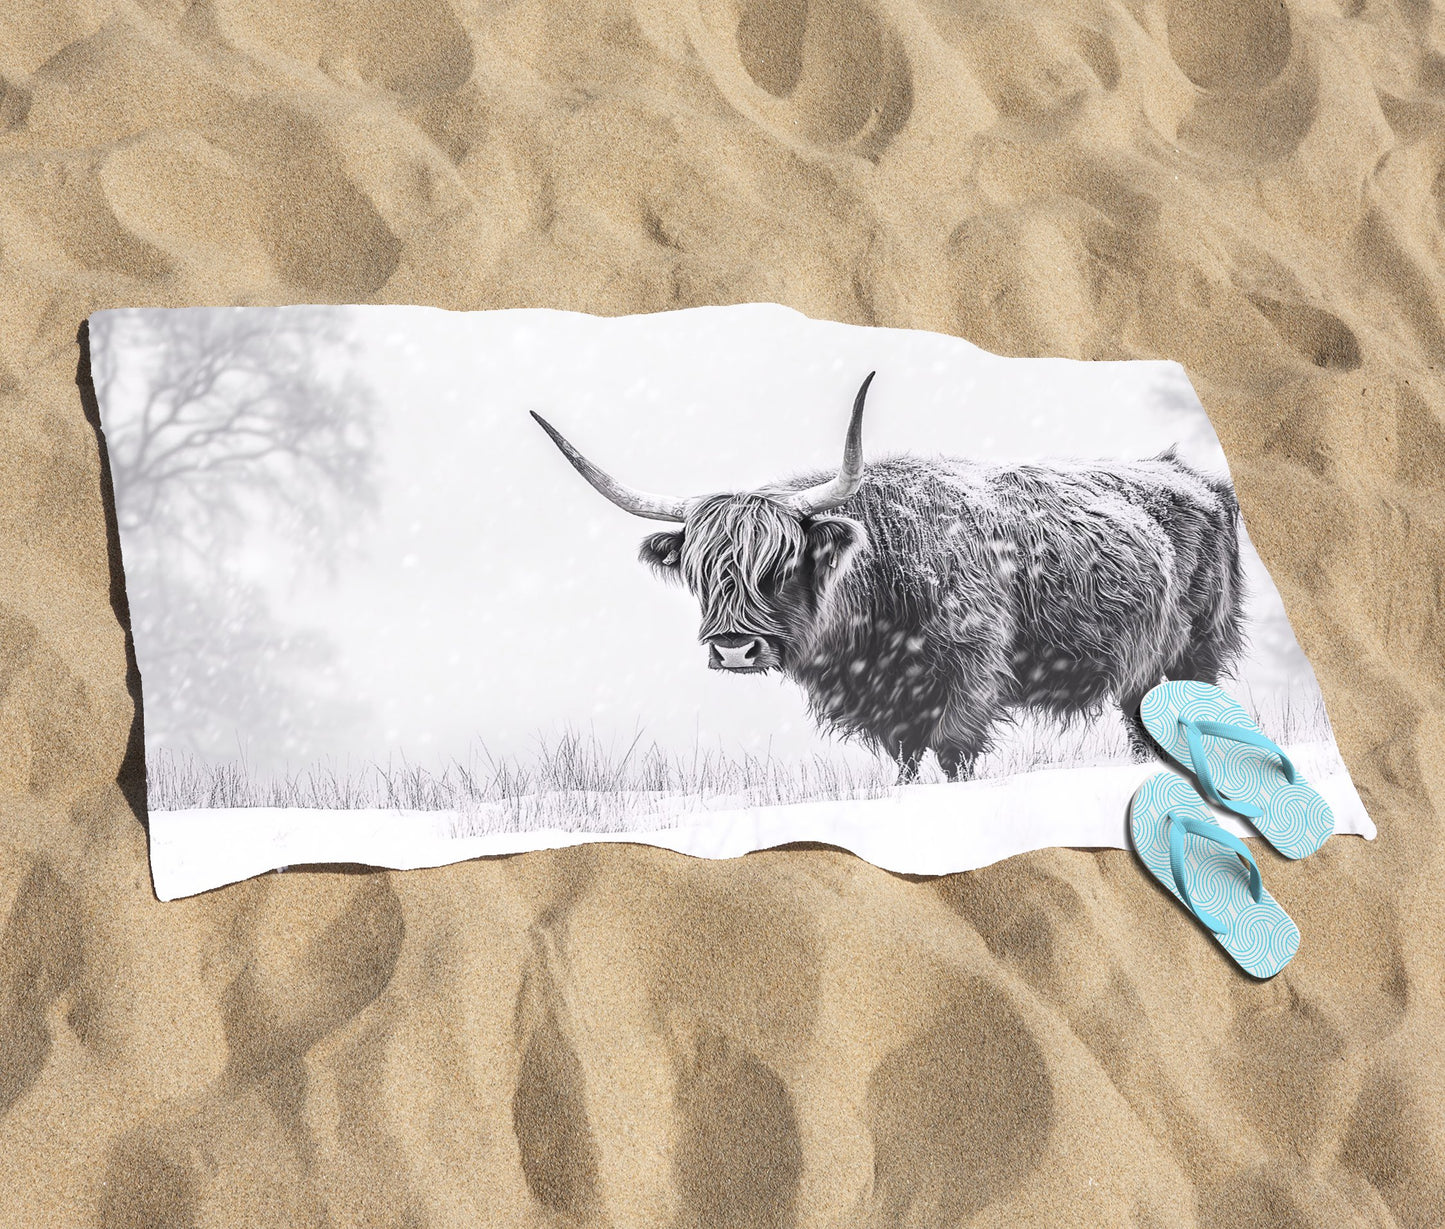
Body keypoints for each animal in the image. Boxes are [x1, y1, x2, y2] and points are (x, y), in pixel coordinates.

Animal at [531, 373, 1247, 782]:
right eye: (701, 571)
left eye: (782, 563)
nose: (734, 648)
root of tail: (1188, 473)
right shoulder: (889, 706)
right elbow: (905, 762)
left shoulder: (971, 675)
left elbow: (953, 756)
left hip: (1193, 651)